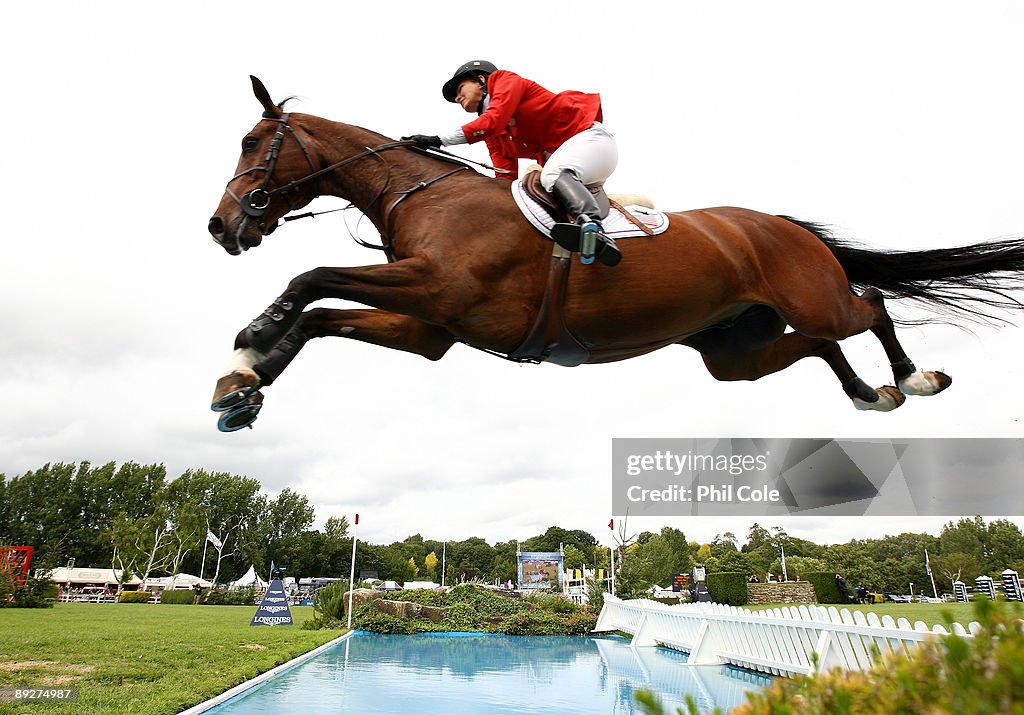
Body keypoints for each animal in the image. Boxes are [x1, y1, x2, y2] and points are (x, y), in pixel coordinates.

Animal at [205, 77, 1024, 432]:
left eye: (249, 142)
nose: (220, 225)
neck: (422, 195)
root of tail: (787, 227)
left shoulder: (436, 289)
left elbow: (311, 279)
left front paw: (250, 340)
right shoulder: (431, 326)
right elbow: (321, 317)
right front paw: (243, 385)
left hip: (811, 296)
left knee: (870, 307)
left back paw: (913, 378)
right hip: (733, 351)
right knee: (821, 342)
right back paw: (867, 393)